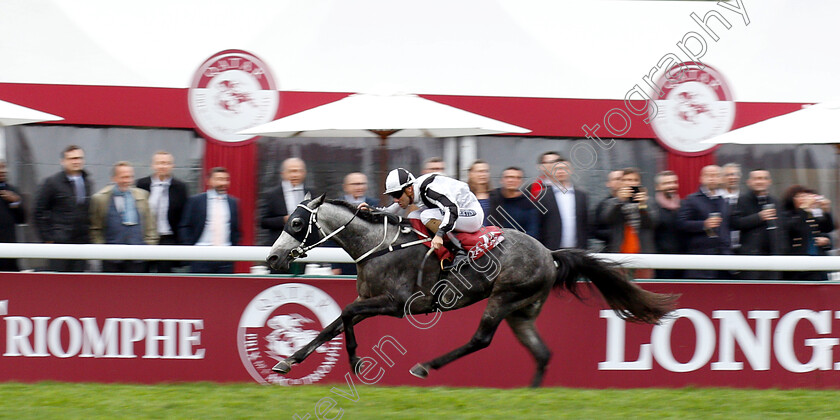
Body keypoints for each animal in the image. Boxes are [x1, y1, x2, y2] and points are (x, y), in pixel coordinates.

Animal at [270, 195, 676, 388]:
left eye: (296, 222)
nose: (273, 257)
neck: (379, 245)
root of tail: (549, 254)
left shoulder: (395, 303)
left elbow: (346, 316)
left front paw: (355, 361)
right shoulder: (367, 298)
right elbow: (333, 324)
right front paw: (288, 361)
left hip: (504, 297)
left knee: (481, 339)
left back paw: (425, 366)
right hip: (522, 311)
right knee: (542, 353)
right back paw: (532, 392)